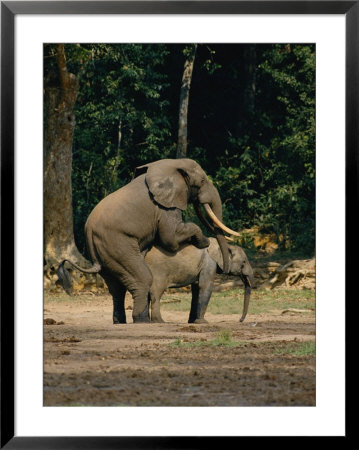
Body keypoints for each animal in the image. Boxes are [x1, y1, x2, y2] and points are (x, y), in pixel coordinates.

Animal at [57, 158, 240, 324]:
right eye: (202, 181)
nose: (225, 270)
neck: (169, 165)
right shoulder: (164, 207)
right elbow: (170, 238)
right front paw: (203, 242)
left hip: (104, 253)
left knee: (116, 287)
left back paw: (120, 322)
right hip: (117, 246)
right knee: (143, 279)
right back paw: (142, 321)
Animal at [112, 236, 256, 324]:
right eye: (244, 262)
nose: (240, 320)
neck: (224, 246)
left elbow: (197, 289)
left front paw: (193, 322)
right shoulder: (209, 264)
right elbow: (206, 287)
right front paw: (203, 322)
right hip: (157, 271)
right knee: (156, 293)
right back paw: (159, 321)